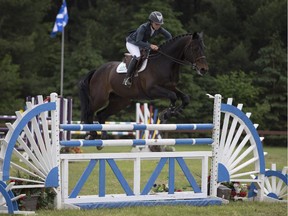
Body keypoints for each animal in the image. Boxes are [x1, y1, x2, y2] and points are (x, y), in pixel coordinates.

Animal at [79, 32, 208, 140]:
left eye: (203, 48)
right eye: (195, 49)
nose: (204, 69)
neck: (164, 62)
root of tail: (97, 71)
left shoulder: (171, 87)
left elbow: (185, 98)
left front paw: (174, 112)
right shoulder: (152, 90)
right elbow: (173, 96)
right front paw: (166, 114)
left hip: (119, 101)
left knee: (101, 114)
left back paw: (104, 136)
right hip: (100, 98)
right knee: (89, 112)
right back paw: (91, 134)